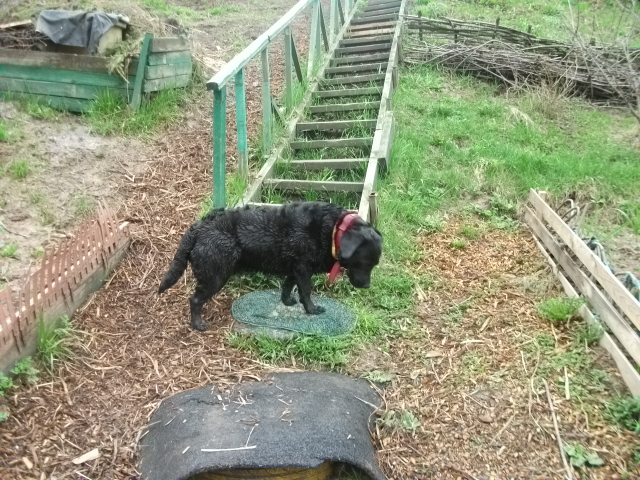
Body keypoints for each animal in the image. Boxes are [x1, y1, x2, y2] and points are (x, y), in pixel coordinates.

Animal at [158, 202, 383, 331]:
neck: (334, 230)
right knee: (194, 300)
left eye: (374, 264)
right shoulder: (303, 269)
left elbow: (288, 287)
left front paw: (287, 302)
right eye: (363, 263)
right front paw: (312, 310)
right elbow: (307, 292)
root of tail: (198, 227)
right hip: (215, 276)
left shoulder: (294, 269)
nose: (366, 286)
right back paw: (198, 325)